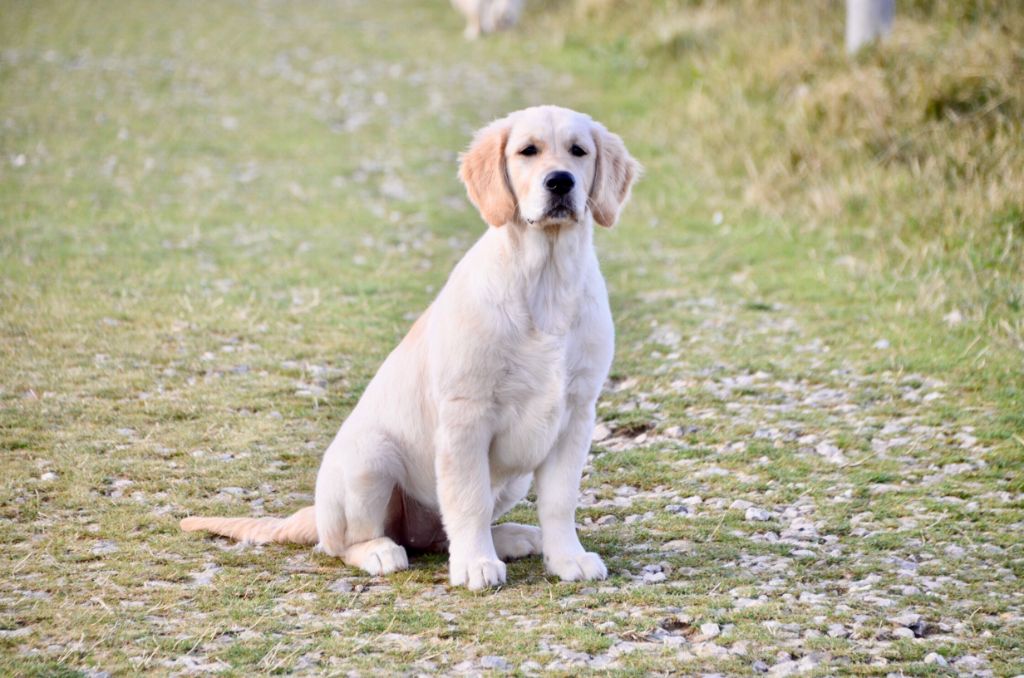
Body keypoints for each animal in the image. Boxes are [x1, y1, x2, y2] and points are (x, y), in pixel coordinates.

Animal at [178, 104, 638, 589]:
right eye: (527, 151)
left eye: (579, 152)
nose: (560, 182)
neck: (546, 279)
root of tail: (316, 514)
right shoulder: (465, 415)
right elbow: (468, 498)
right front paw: (476, 563)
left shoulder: (576, 413)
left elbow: (559, 500)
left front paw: (568, 557)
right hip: (370, 458)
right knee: (344, 544)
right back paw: (382, 551)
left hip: (508, 481)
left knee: (438, 536)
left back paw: (512, 537)